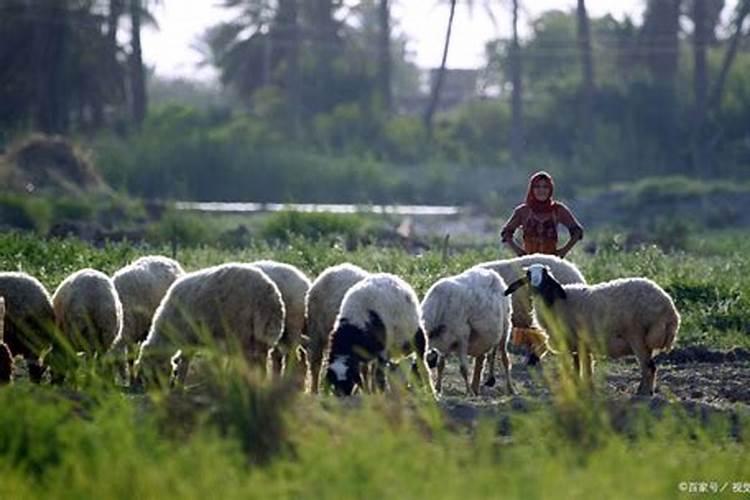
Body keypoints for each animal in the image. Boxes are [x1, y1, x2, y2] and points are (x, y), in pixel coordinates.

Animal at [134, 264, 286, 388]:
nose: (156, 393)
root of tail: (270, 296)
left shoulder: (189, 338)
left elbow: (184, 364)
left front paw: (179, 387)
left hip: (242, 332)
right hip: (261, 333)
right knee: (260, 362)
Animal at [420, 268, 516, 396]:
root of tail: (492, 272)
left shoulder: (462, 338)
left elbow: (463, 369)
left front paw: (468, 392)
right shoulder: (445, 341)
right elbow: (441, 365)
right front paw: (438, 389)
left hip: (505, 327)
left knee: (505, 359)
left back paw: (510, 389)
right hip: (484, 337)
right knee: (481, 358)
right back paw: (477, 387)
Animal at [506, 264, 680, 396]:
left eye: (546, 276)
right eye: (528, 275)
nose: (536, 288)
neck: (554, 301)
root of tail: (669, 308)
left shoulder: (572, 341)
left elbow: (576, 368)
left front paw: (577, 388)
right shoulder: (582, 345)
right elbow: (586, 369)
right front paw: (587, 389)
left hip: (636, 335)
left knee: (648, 367)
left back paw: (644, 394)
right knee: (649, 367)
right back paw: (644, 391)